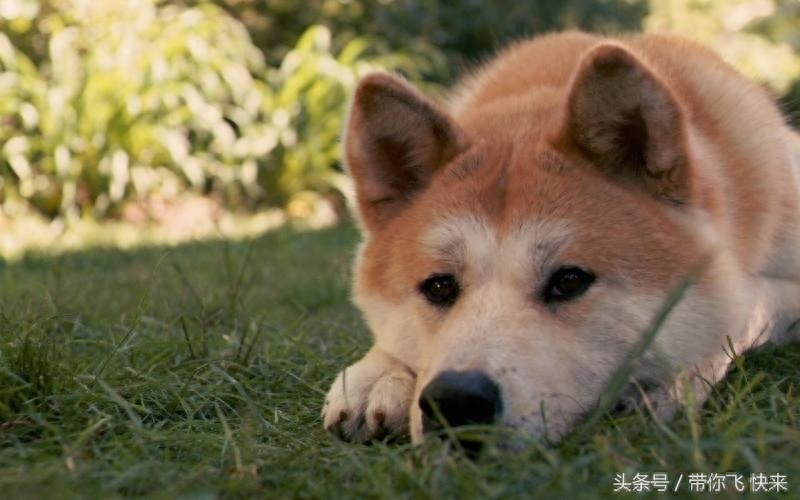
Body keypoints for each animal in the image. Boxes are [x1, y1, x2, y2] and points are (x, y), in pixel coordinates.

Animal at [320, 31, 800, 446]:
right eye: (439, 286)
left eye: (569, 281)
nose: (456, 400)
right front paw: (379, 375)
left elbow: (744, 309)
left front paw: (673, 379)